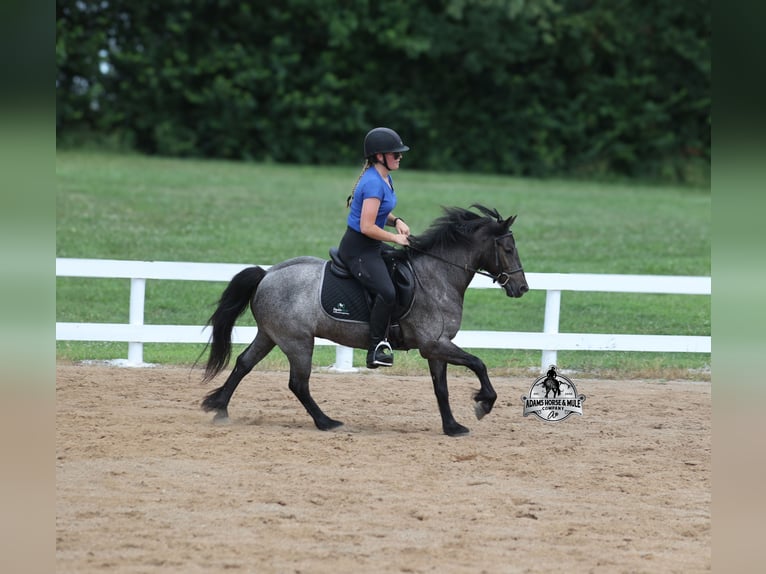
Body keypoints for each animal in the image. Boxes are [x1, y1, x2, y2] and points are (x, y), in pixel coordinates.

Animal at [200, 204, 529, 436]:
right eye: (508, 248)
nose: (522, 288)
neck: (437, 276)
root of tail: (267, 274)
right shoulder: (434, 344)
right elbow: (478, 363)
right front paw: (484, 403)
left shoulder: (437, 347)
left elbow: (441, 388)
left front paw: (452, 427)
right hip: (297, 342)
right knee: (298, 384)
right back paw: (326, 422)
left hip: (270, 335)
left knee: (243, 363)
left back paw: (219, 408)